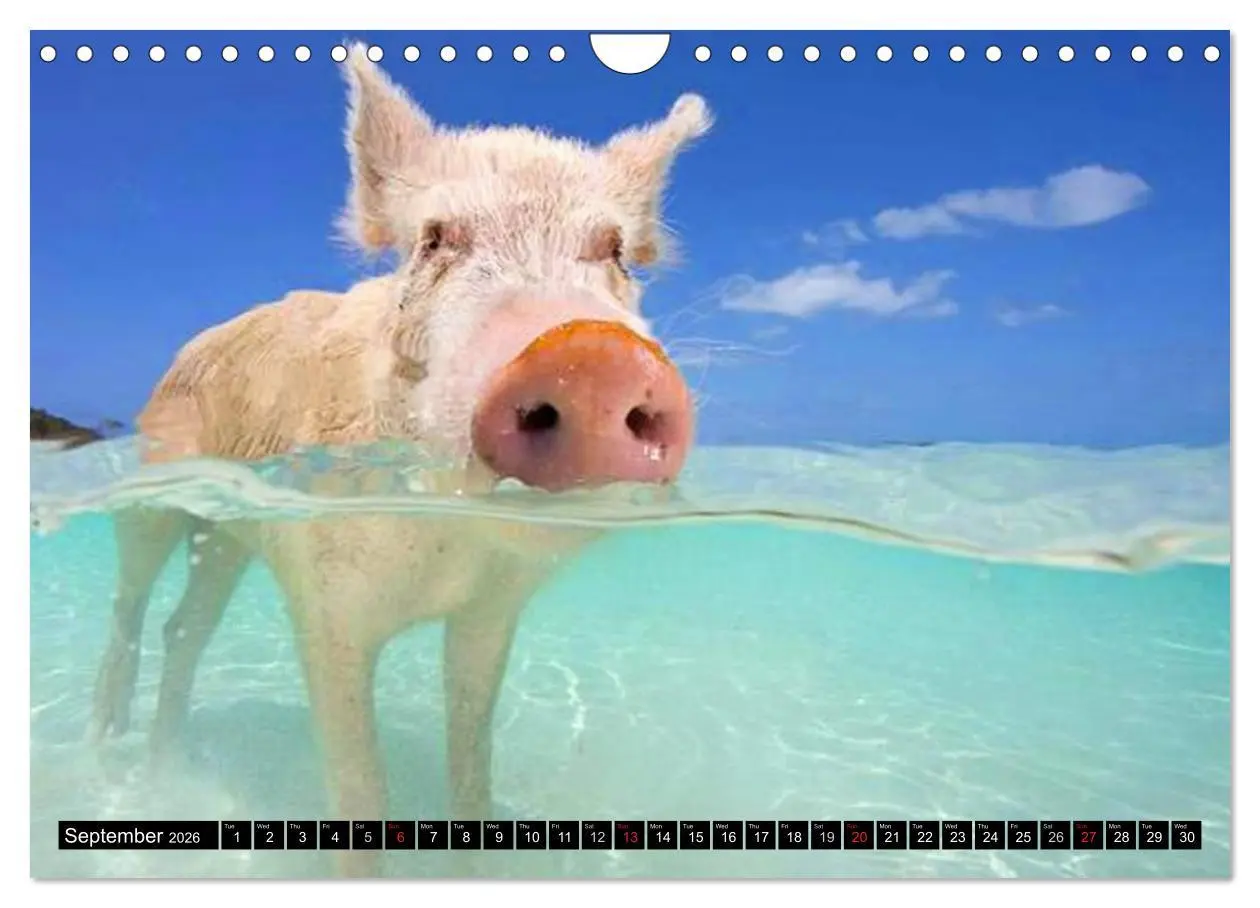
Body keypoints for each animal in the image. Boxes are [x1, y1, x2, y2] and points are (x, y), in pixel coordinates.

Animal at [86, 43, 711, 876]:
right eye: (435, 240)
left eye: (614, 253)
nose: (589, 353)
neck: (445, 546)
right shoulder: (325, 606)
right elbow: (362, 789)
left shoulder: (489, 610)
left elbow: (472, 768)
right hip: (157, 487)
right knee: (131, 598)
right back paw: (106, 745)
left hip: (228, 531)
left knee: (185, 627)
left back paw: (167, 766)